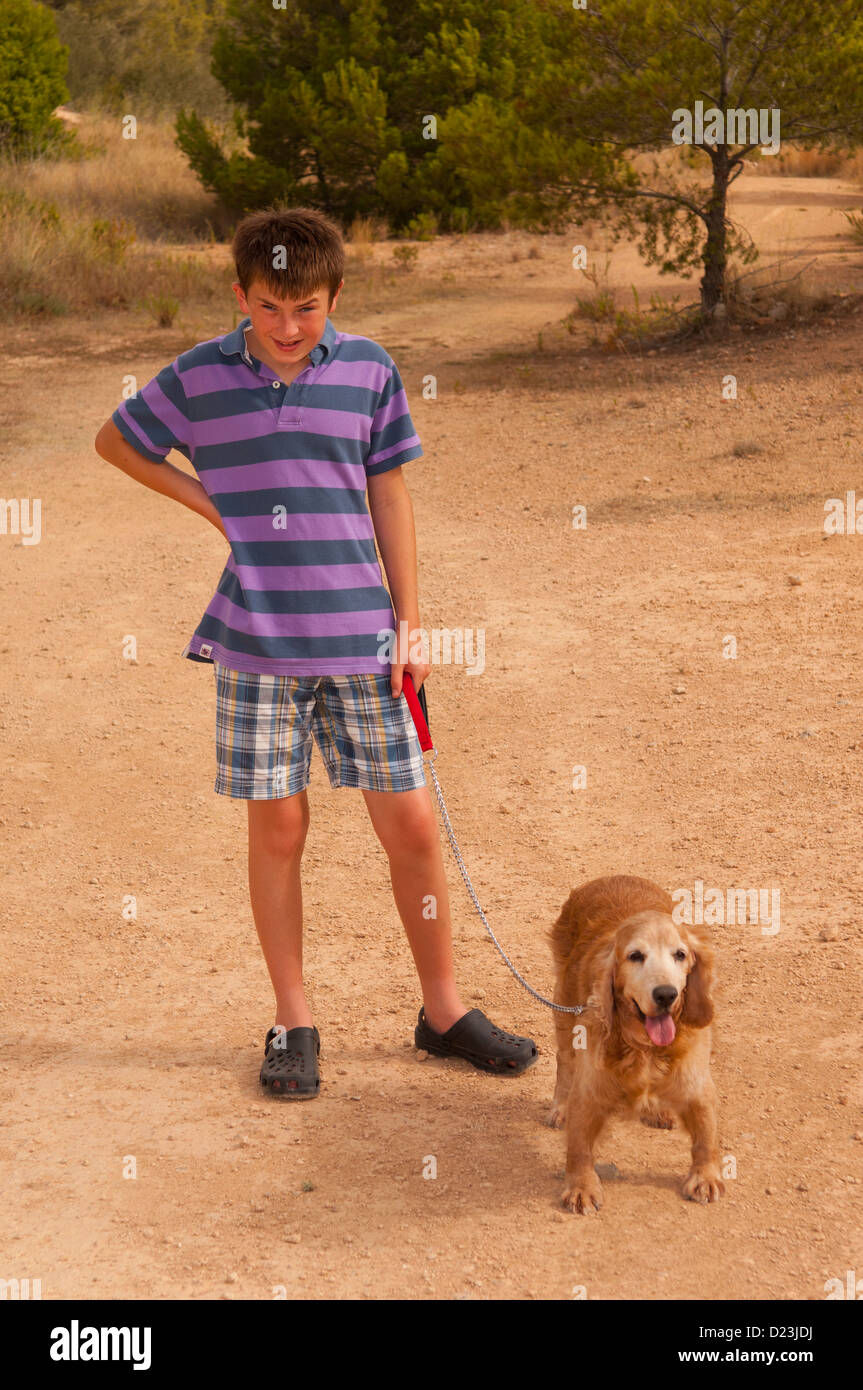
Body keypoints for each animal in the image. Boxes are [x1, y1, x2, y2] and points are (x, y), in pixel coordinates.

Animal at [547, 872, 722, 1212]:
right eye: (635, 956)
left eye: (680, 955)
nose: (666, 994)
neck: (644, 1049)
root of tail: (610, 876)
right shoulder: (588, 1089)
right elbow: (579, 1147)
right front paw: (581, 1187)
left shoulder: (696, 1083)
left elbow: (706, 1137)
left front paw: (705, 1177)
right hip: (564, 1007)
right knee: (564, 1062)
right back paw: (559, 1106)